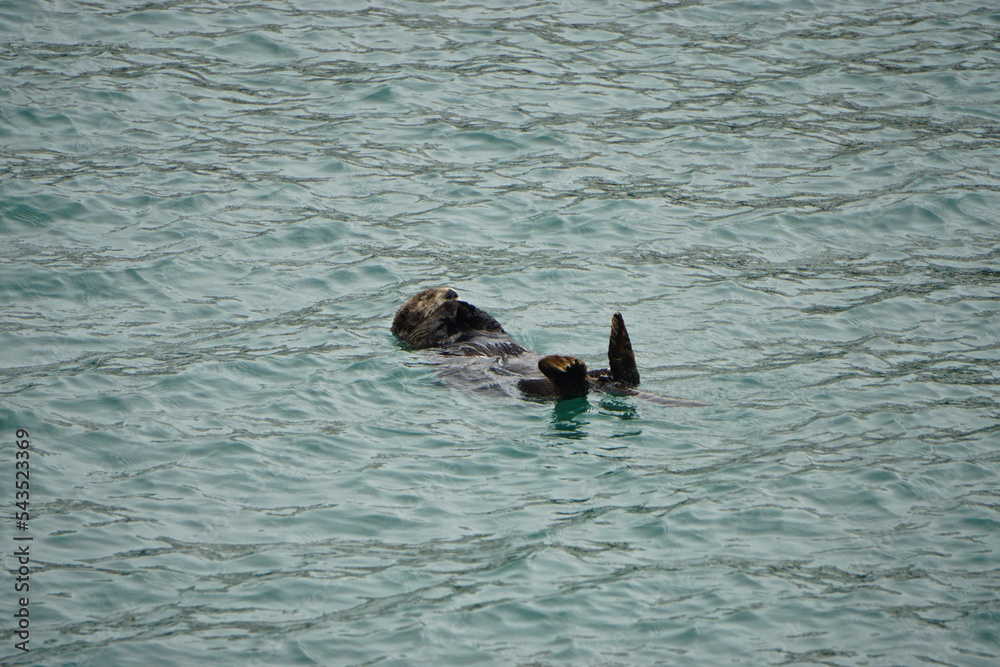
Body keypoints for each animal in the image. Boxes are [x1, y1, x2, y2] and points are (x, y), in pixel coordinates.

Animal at [392, 287, 706, 406]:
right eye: (425, 295)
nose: (450, 291)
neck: (461, 331)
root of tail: (600, 383)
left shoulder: (487, 327)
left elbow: (489, 321)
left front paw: (463, 303)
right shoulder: (422, 340)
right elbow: (428, 328)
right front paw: (447, 305)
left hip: (602, 374)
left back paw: (614, 329)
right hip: (531, 387)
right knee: (570, 388)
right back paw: (564, 365)